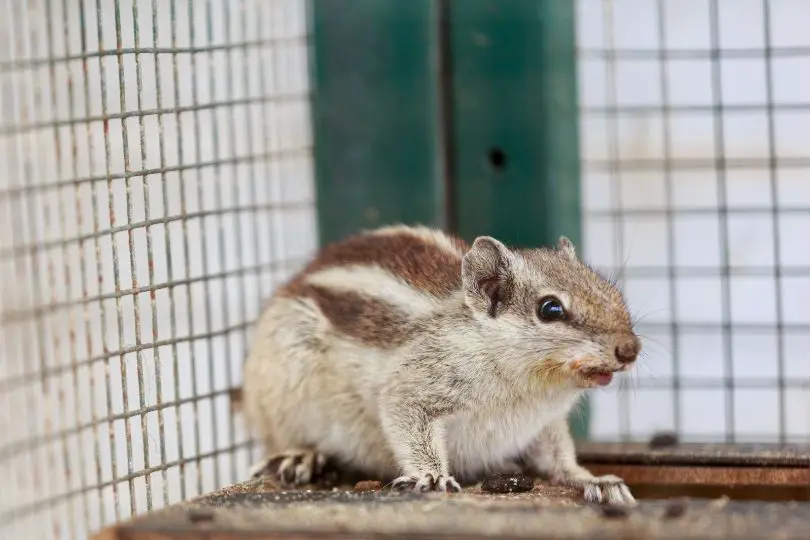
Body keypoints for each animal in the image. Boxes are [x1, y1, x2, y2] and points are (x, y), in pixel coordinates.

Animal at [240, 223, 636, 502]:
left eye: (612, 291)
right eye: (550, 309)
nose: (630, 349)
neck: (529, 389)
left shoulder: (544, 423)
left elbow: (558, 458)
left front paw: (593, 480)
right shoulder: (417, 383)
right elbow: (406, 416)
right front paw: (431, 477)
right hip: (283, 385)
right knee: (279, 438)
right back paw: (299, 456)